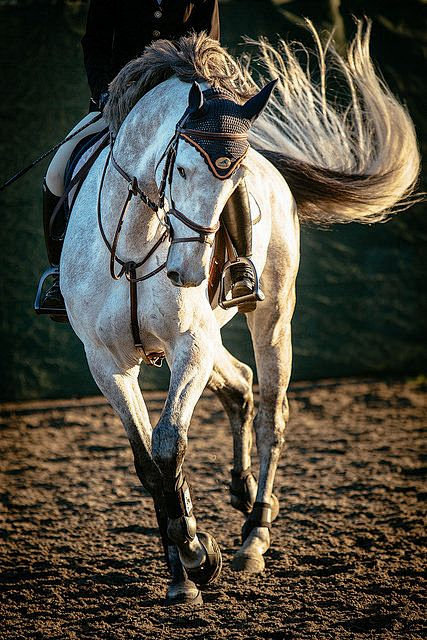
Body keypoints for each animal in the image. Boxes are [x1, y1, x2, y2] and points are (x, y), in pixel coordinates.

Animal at [60, 25, 422, 604]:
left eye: (233, 184)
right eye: (182, 168)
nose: (187, 271)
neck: (137, 244)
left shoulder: (190, 344)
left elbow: (169, 446)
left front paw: (196, 555)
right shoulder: (106, 362)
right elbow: (148, 464)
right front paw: (181, 574)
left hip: (271, 315)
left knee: (273, 409)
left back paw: (254, 534)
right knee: (241, 384)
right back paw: (239, 494)